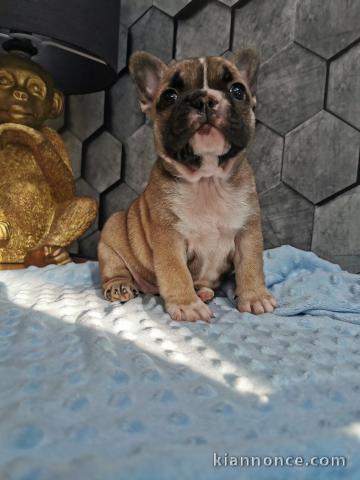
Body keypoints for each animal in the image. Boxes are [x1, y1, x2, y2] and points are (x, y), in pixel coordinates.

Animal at [97, 48, 278, 320]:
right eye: (170, 96)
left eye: (237, 90)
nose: (204, 100)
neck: (207, 180)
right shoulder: (169, 238)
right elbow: (176, 272)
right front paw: (186, 305)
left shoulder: (247, 232)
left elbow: (251, 265)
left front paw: (255, 296)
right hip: (112, 235)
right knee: (114, 268)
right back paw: (119, 285)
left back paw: (202, 291)